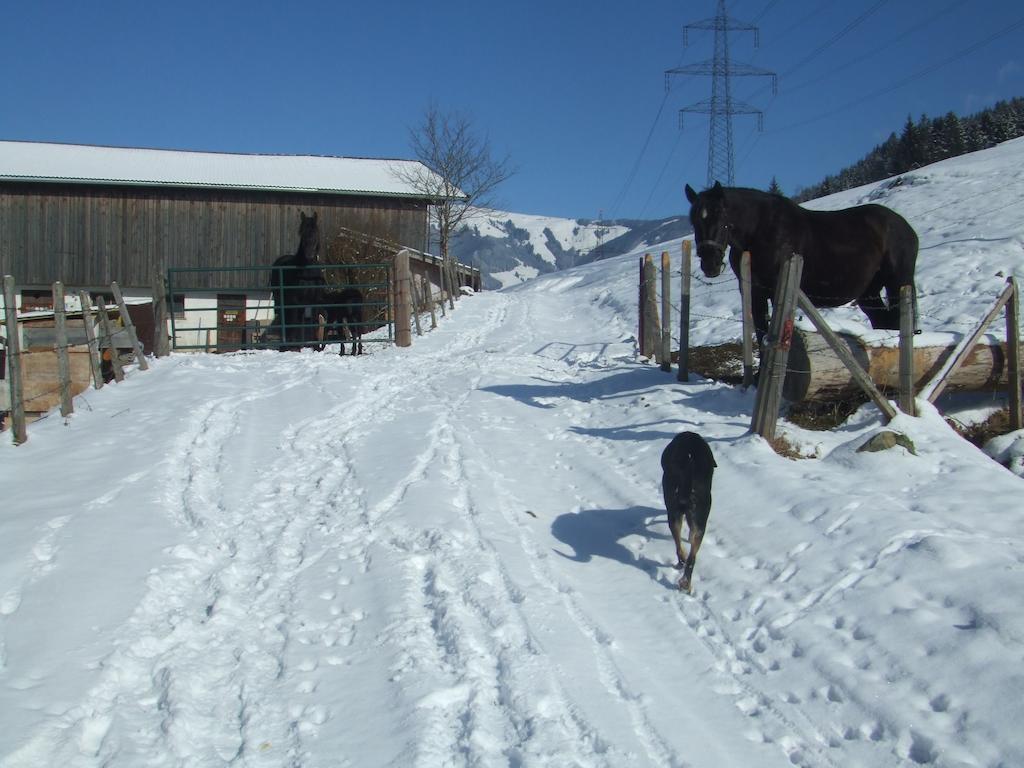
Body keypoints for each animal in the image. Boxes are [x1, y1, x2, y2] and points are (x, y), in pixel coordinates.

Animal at [659, 434, 716, 593]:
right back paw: (686, 582)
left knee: (681, 549)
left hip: (674, 515)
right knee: (691, 556)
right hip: (701, 517)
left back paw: (684, 576)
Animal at [688, 183, 921, 346]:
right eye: (694, 221)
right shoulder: (756, 292)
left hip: (898, 283)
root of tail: (905, 227)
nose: (710, 264)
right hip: (869, 292)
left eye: (721, 217)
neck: (761, 231)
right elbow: (762, 334)